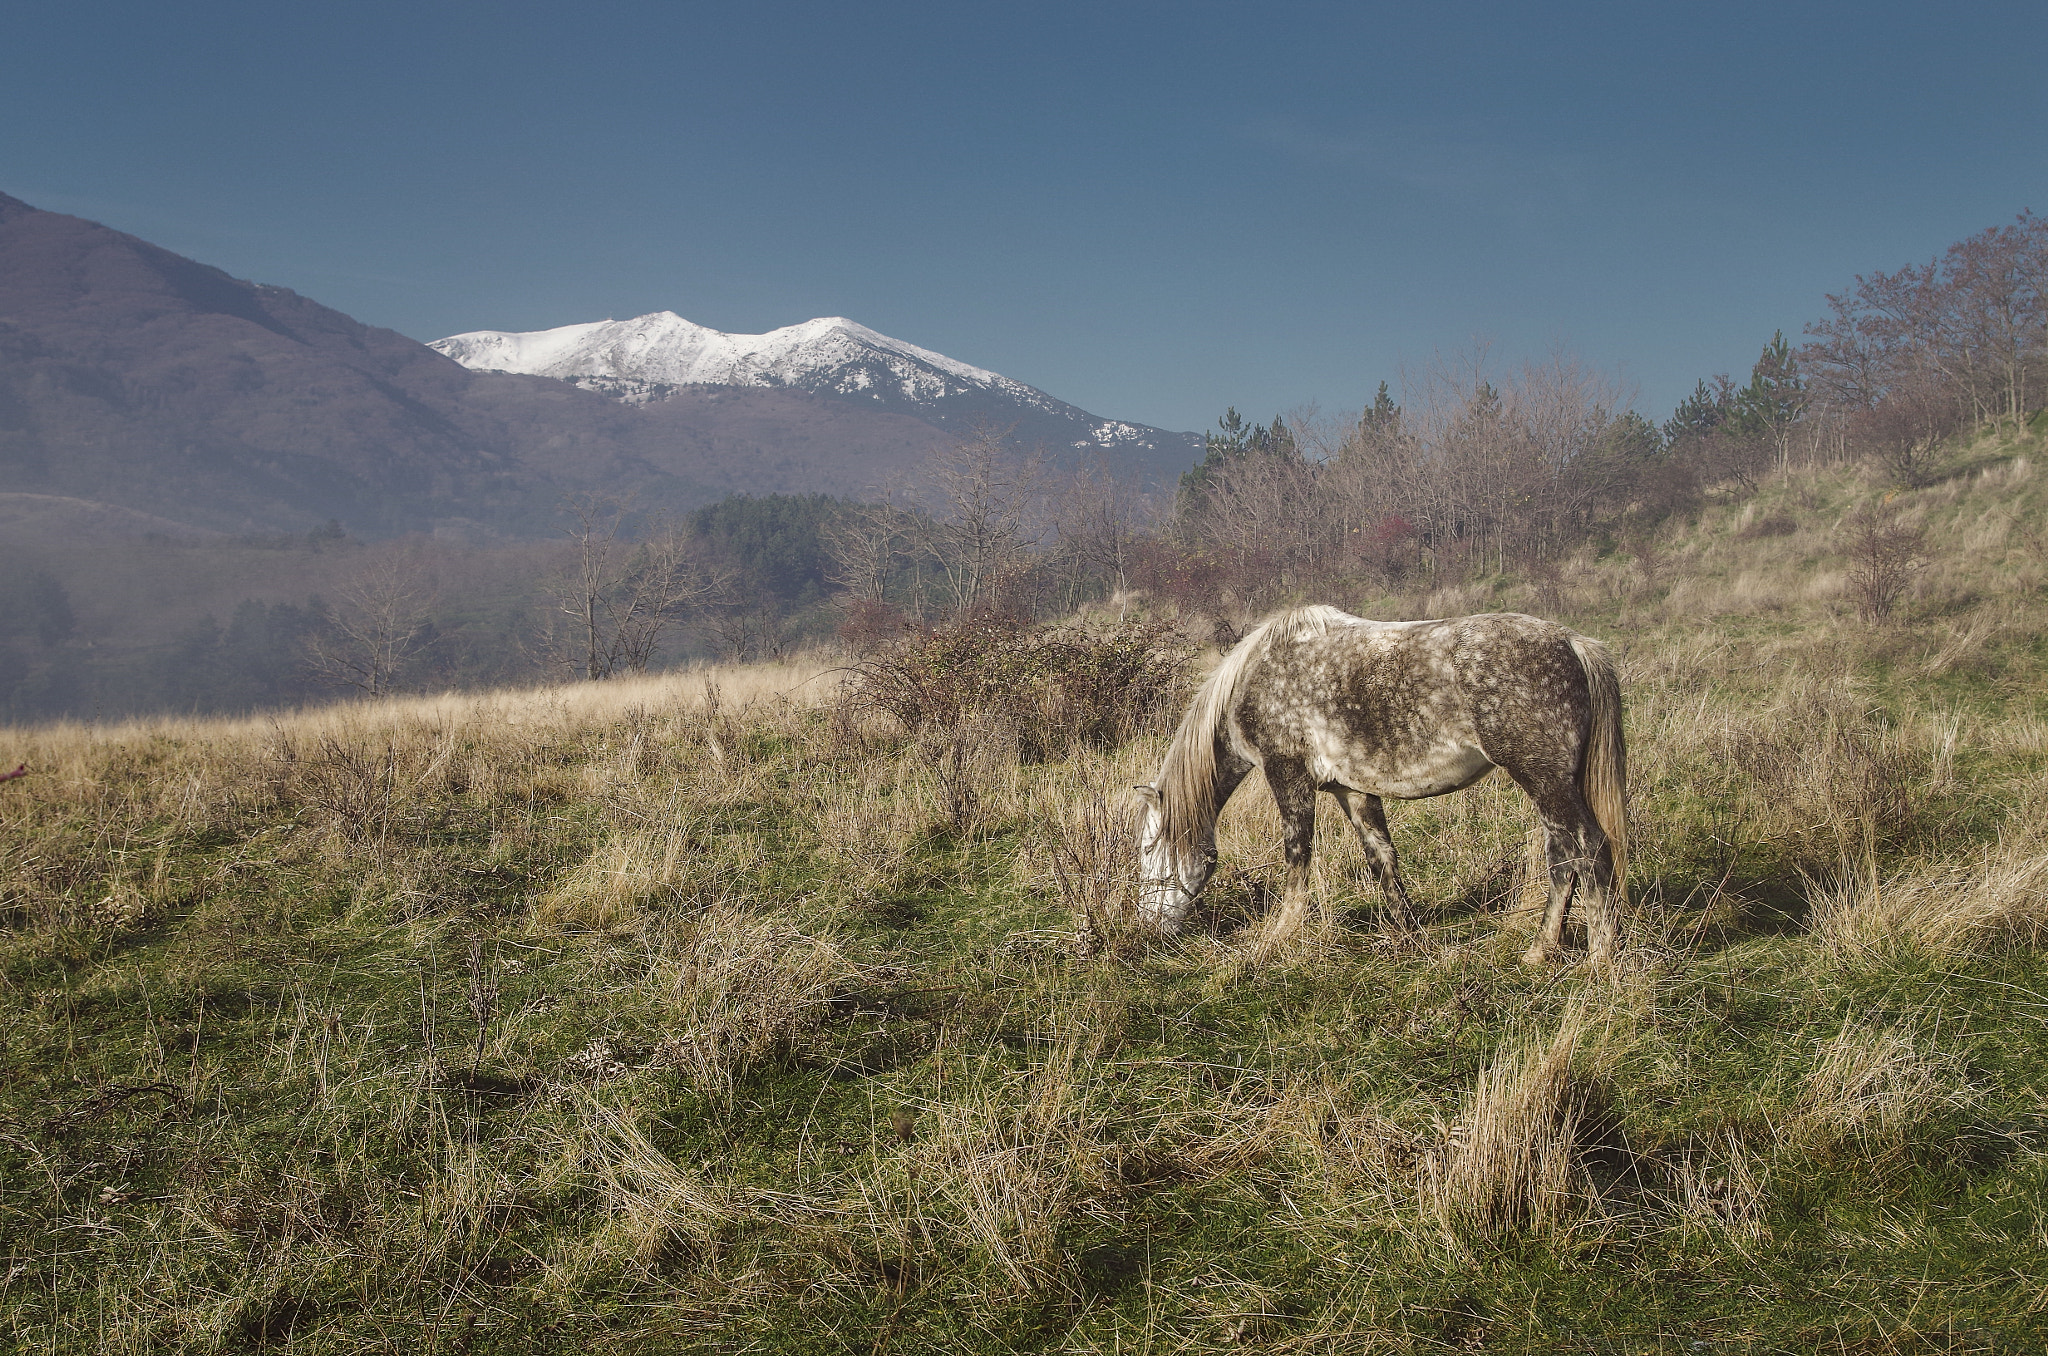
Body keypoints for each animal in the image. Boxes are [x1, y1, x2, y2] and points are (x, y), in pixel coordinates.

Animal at [1132, 606, 1627, 965]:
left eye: (1147, 848)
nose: (1150, 926)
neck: (1256, 678)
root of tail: (1574, 644)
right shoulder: (1352, 789)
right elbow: (1382, 859)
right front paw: (1410, 935)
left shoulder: (1287, 776)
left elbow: (1297, 861)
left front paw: (1276, 938)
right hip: (1551, 785)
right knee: (1563, 858)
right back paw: (1539, 952)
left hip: (1544, 779)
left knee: (1589, 850)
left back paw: (1599, 961)